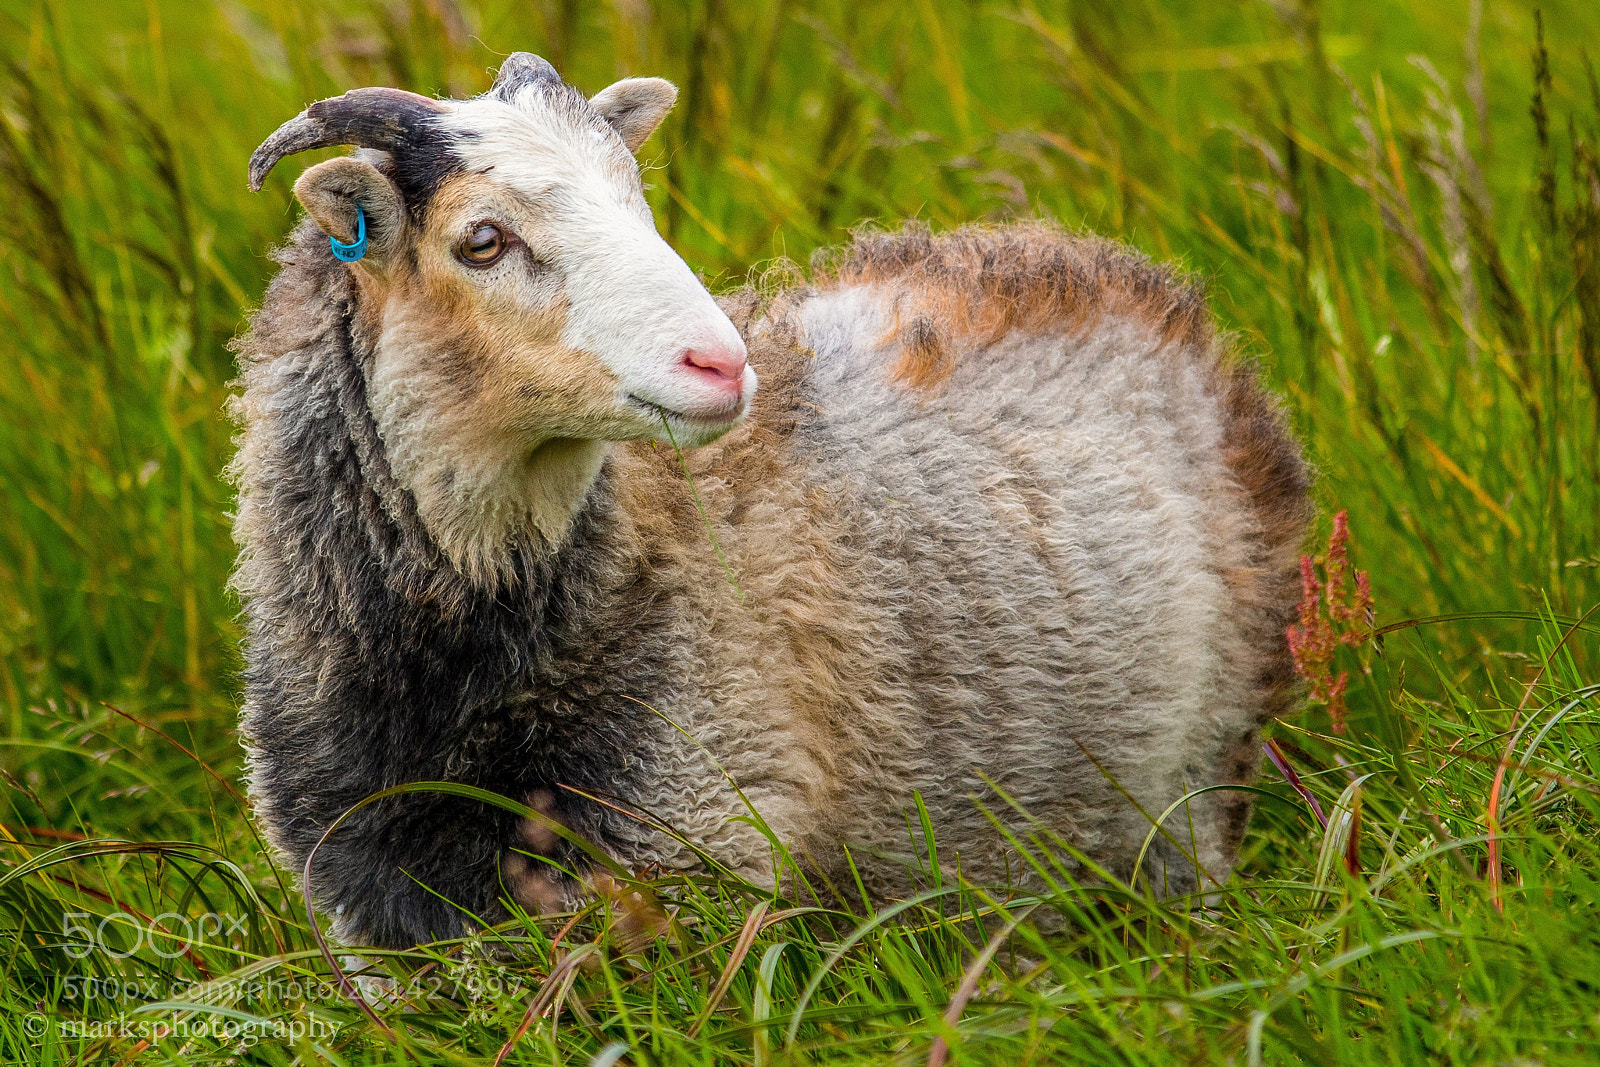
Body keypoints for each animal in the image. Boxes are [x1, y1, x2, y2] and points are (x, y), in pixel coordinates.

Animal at [232, 51, 1312, 949]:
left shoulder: (695, 854)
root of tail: (1096, 259)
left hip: (1201, 770)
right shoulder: (374, 915)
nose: (722, 360)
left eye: (638, 196)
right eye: (483, 240)